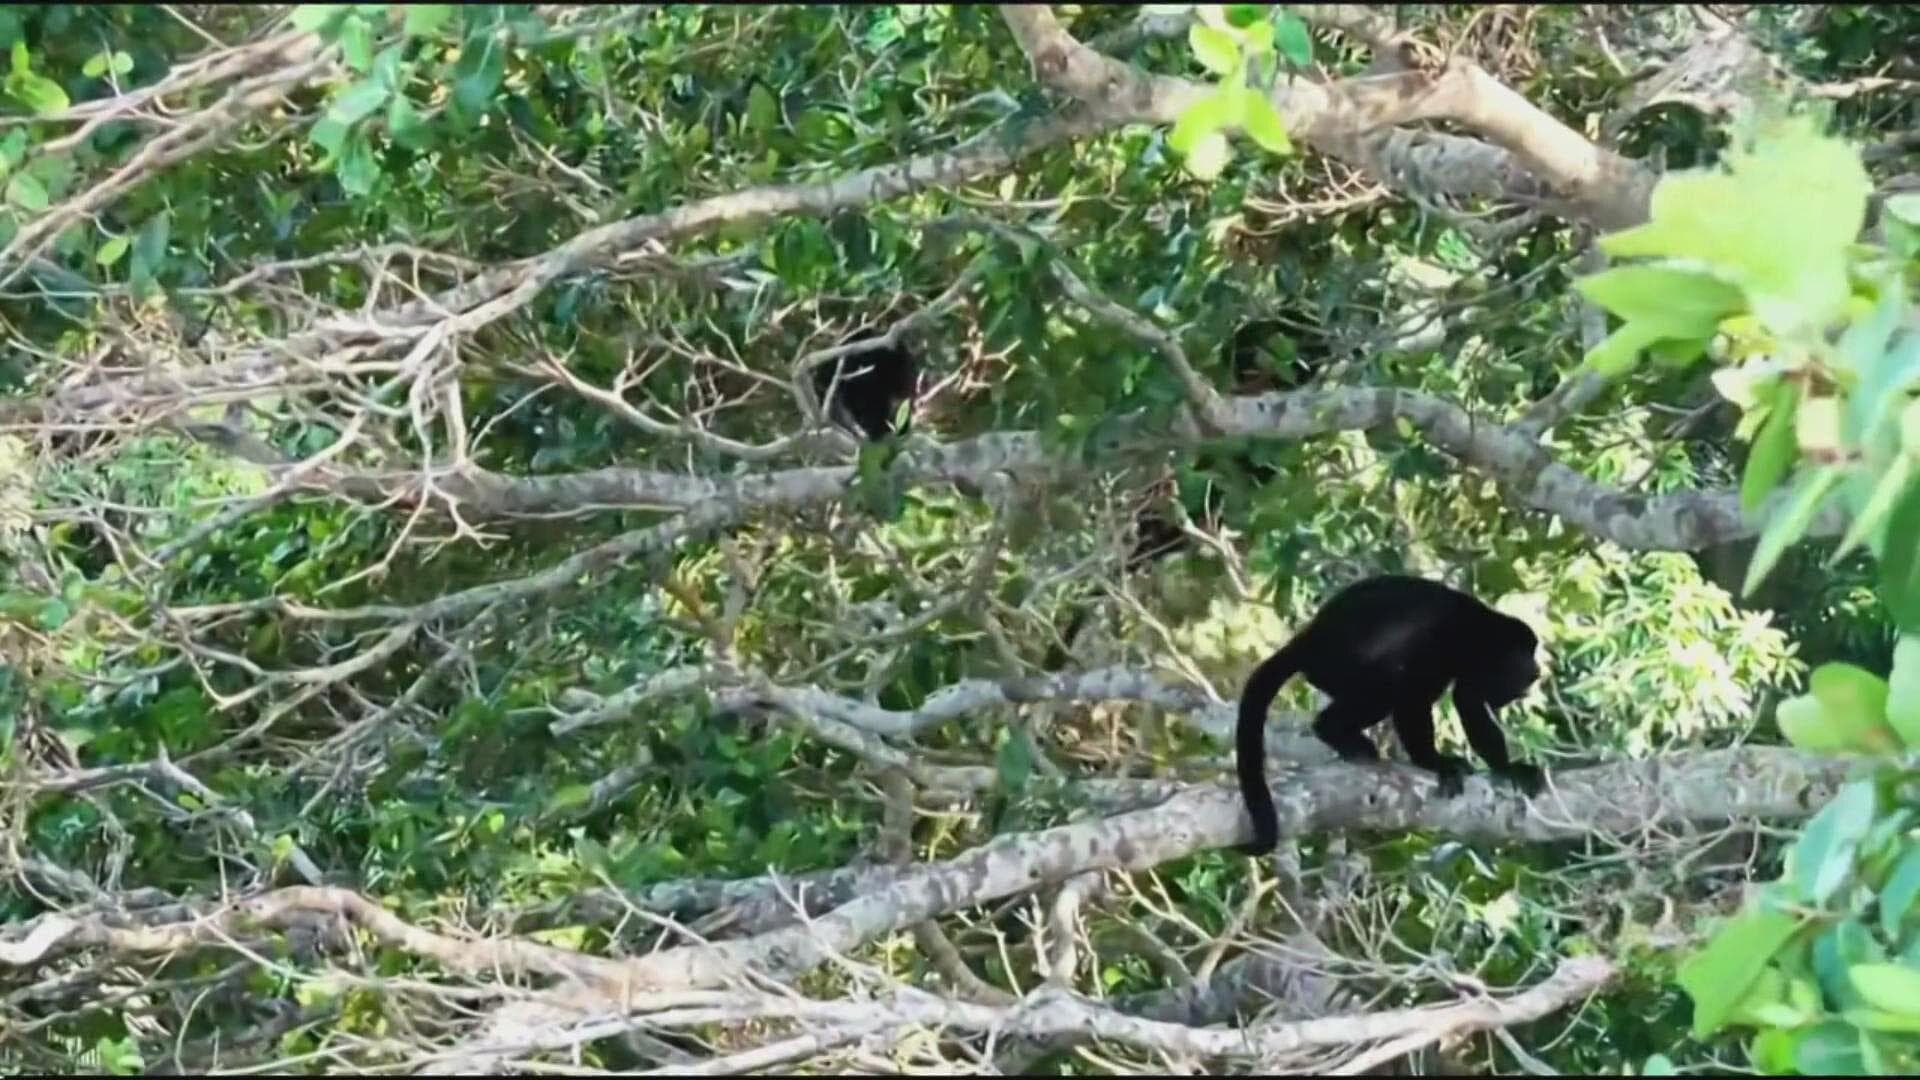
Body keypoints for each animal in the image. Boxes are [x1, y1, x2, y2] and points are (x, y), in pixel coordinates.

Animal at [1235, 574, 1545, 855]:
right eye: (1525, 654)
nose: (1537, 670)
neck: (1479, 634)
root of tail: (1307, 640)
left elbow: (1469, 702)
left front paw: (1507, 768)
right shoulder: (1441, 643)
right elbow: (1413, 698)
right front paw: (1434, 762)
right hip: (1337, 665)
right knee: (1386, 689)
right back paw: (1335, 731)